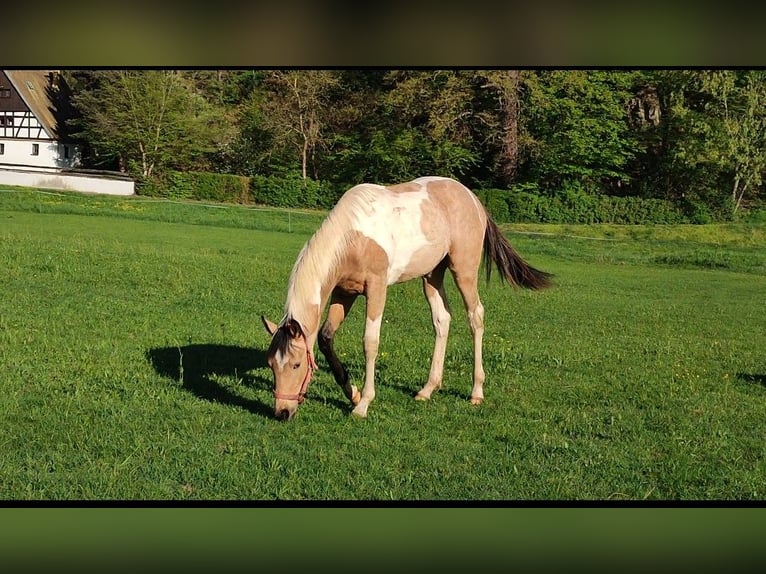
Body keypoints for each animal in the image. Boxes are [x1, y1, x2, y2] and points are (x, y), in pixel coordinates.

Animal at [262, 173, 552, 420]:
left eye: (296, 365)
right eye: (271, 364)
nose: (282, 412)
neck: (354, 235)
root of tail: (473, 199)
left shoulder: (377, 288)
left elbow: (370, 342)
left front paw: (363, 404)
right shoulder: (344, 291)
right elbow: (325, 338)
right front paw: (352, 393)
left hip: (464, 271)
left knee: (475, 317)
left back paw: (476, 392)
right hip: (432, 275)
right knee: (442, 320)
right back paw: (427, 389)